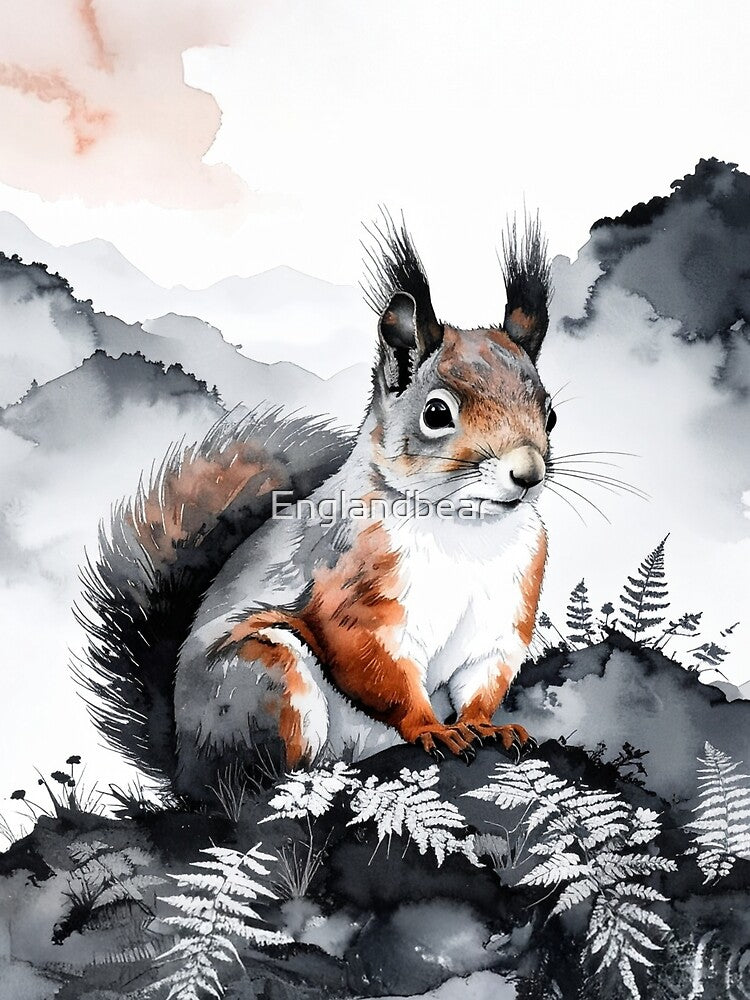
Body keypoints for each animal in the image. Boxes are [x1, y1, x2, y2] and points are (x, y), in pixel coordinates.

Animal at [76, 214, 555, 800]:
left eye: (550, 413)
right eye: (437, 413)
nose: (528, 474)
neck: (467, 529)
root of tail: (185, 771)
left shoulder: (503, 616)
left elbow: (482, 679)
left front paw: (486, 726)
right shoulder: (350, 591)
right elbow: (378, 672)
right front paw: (431, 729)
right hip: (265, 677)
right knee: (255, 785)